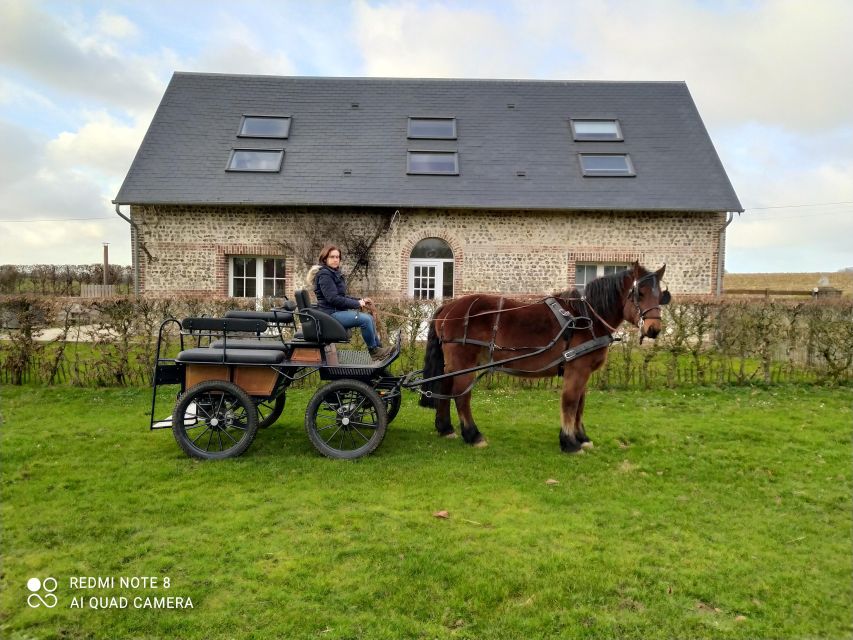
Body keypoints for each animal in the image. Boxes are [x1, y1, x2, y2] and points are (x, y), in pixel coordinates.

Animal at [416, 262, 668, 452]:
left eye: (661, 296)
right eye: (639, 293)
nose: (654, 329)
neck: (586, 318)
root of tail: (448, 308)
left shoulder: (584, 372)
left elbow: (580, 404)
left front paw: (582, 438)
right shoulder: (576, 369)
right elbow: (570, 402)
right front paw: (569, 442)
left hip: (454, 364)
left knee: (445, 388)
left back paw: (445, 428)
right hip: (464, 362)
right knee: (461, 396)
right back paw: (472, 434)